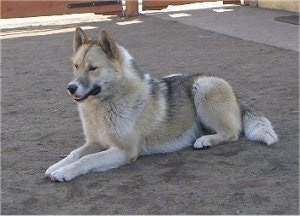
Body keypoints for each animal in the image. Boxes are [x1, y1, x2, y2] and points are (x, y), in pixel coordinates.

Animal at [45, 27, 278, 181]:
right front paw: (57, 166)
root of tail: (234, 93)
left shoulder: (123, 151)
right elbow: (75, 154)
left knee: (232, 133)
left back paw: (205, 140)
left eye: (93, 68)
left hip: (203, 88)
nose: (70, 88)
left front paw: (65, 172)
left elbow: (87, 160)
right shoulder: (95, 143)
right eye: (76, 66)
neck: (106, 103)